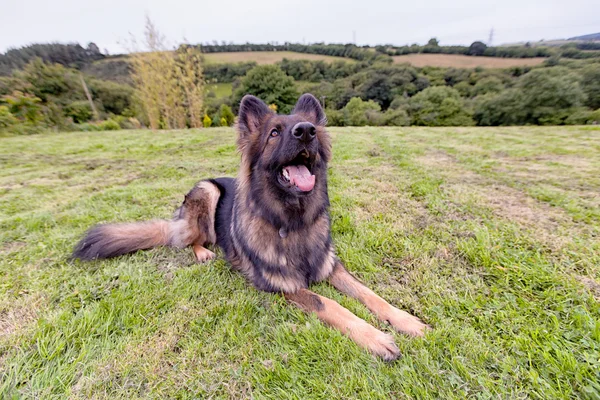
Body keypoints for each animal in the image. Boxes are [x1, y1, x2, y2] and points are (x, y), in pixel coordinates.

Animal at [72, 94, 428, 360]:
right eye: (274, 133)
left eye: (312, 129)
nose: (306, 131)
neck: (292, 222)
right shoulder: (285, 286)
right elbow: (330, 303)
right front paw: (375, 337)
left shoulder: (331, 267)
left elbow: (369, 293)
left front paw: (406, 320)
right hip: (207, 191)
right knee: (187, 239)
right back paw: (203, 252)